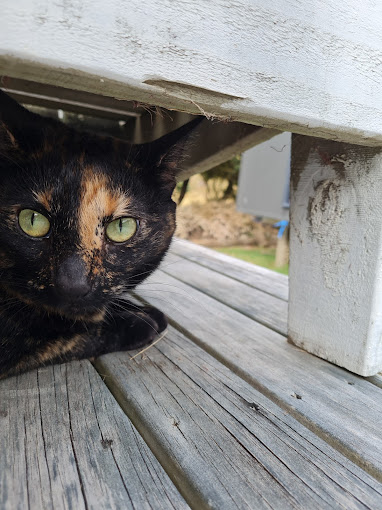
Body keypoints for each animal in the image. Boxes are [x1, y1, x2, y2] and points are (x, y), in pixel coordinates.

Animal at [0, 90, 197, 378]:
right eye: (32, 221)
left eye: (122, 227)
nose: (73, 285)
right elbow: (66, 334)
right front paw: (138, 321)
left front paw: (137, 309)